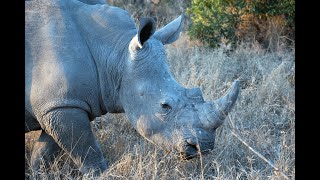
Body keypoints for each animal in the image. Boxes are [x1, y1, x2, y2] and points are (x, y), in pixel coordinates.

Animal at [25, 0, 240, 177]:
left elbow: (44, 153)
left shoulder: (60, 104)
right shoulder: (62, 105)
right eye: (165, 106)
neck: (115, 53)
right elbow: (87, 152)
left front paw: (38, 175)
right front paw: (101, 175)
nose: (204, 146)